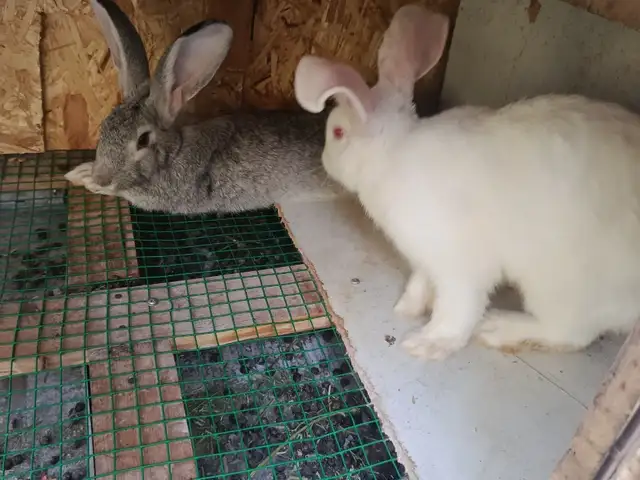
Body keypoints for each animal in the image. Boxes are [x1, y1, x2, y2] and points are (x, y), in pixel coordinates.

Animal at [64, 0, 340, 215]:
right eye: (104, 127)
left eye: (143, 140)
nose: (102, 176)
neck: (174, 152)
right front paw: (85, 172)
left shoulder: (167, 193)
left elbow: (129, 192)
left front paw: (85, 177)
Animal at [293, 4, 640, 361]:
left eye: (337, 133)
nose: (324, 159)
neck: (393, 153)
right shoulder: (427, 258)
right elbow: (421, 281)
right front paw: (407, 307)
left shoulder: (458, 264)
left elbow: (457, 310)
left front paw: (427, 343)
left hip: (559, 284)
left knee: (571, 332)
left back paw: (497, 327)